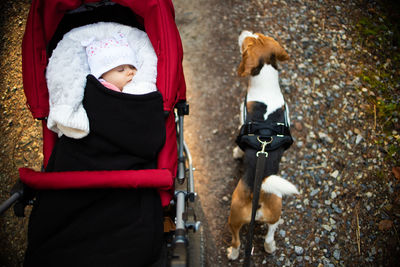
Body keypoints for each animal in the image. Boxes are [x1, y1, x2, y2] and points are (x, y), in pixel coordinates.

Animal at [227, 31, 298, 262]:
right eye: (260, 35)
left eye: (249, 40)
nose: (244, 31)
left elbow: (238, 147)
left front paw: (236, 153)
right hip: (275, 211)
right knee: (269, 235)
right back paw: (270, 246)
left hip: (233, 216)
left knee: (237, 242)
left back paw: (232, 253)